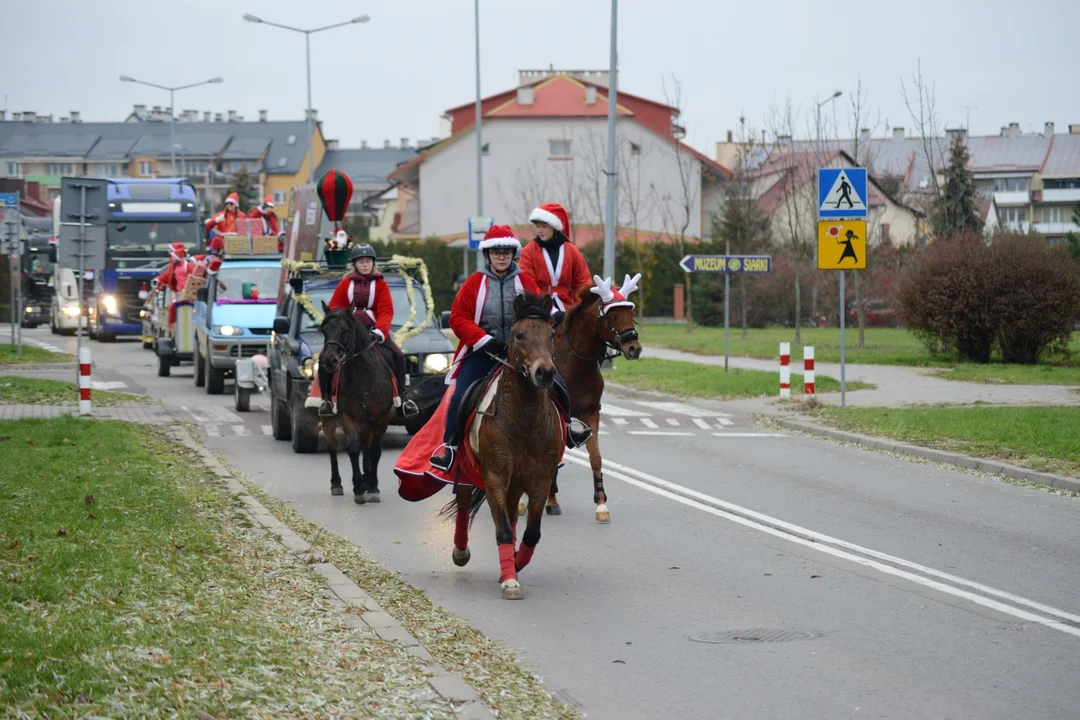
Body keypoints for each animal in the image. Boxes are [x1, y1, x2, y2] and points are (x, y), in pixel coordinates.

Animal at [317, 304, 395, 507]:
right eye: (323, 330)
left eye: (345, 330)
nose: (329, 361)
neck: (363, 374)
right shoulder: (347, 417)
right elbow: (352, 448)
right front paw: (358, 488)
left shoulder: (381, 418)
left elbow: (374, 451)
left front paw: (373, 487)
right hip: (329, 420)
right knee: (332, 447)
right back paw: (337, 484)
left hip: (367, 423)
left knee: (366, 448)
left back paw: (367, 479)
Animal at [438, 293, 561, 604]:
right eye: (519, 334)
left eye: (552, 334)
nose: (545, 373)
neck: (523, 418)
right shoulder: (494, 477)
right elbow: (503, 531)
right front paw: (510, 581)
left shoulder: (541, 480)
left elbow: (531, 533)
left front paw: (514, 565)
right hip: (468, 471)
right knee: (464, 504)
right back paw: (460, 551)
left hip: (516, 484)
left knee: (511, 513)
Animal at [533, 276, 635, 524]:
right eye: (612, 316)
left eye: (631, 313)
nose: (633, 347)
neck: (575, 362)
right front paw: (550, 500)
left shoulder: (591, 412)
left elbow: (596, 457)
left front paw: (601, 504)